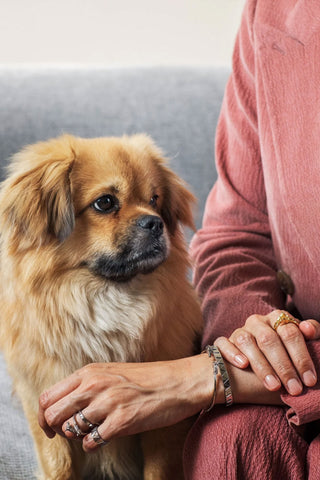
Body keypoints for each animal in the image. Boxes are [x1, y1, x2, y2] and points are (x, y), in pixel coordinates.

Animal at [0, 134, 201, 480]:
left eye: (155, 200)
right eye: (105, 203)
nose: (155, 223)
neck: (105, 295)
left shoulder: (160, 423)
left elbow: (158, 468)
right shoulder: (42, 402)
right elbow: (59, 465)